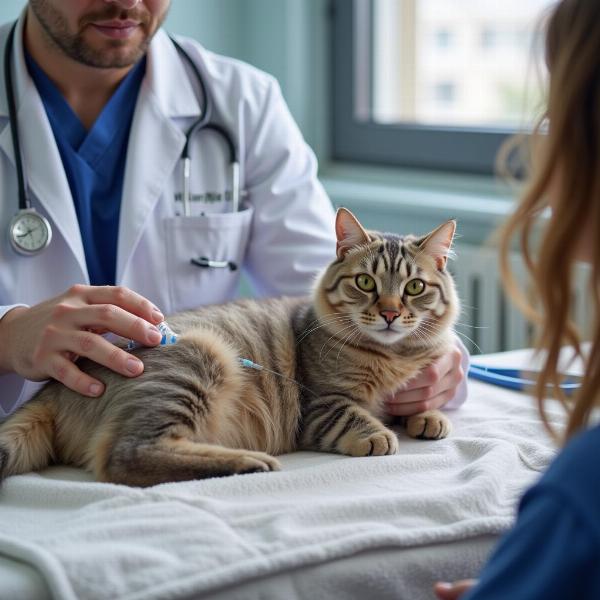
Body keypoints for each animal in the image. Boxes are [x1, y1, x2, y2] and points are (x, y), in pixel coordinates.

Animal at [0, 209, 460, 486]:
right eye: (365, 282)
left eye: (414, 288)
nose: (390, 313)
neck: (393, 357)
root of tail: (51, 391)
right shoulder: (320, 406)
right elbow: (356, 417)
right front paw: (379, 433)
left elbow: (418, 405)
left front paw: (428, 416)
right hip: (200, 361)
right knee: (126, 456)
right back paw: (247, 462)